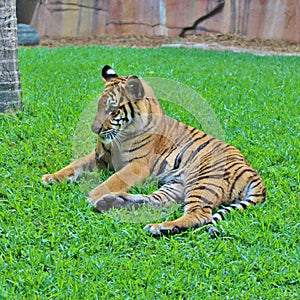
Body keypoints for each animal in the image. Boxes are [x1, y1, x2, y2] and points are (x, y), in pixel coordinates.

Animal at [41, 65, 264, 237]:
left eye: (113, 110)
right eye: (98, 106)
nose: (94, 130)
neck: (121, 134)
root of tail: (253, 174)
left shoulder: (137, 165)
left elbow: (113, 180)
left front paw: (92, 195)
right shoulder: (100, 156)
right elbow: (76, 164)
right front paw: (53, 177)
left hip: (202, 178)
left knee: (200, 214)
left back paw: (160, 227)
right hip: (176, 185)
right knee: (160, 202)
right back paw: (113, 202)